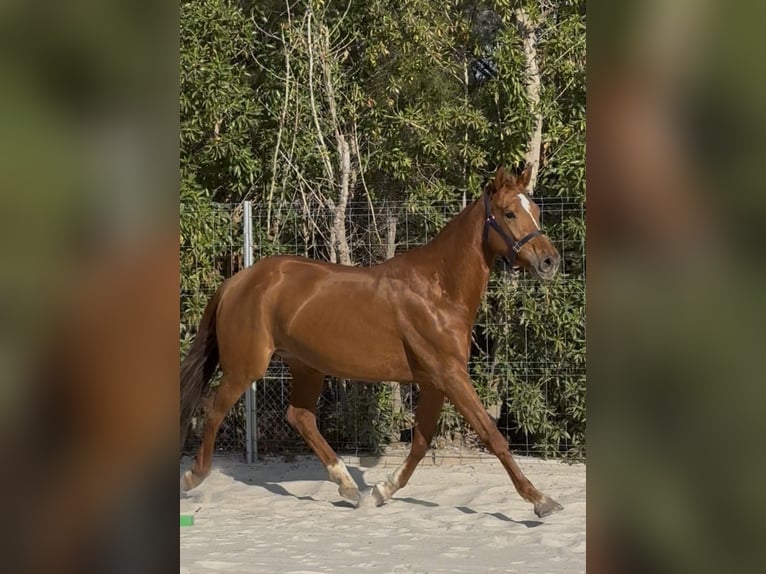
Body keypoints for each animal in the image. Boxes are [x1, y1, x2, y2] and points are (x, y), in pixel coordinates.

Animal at [180, 165, 564, 518]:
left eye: (536, 210)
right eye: (510, 212)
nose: (549, 261)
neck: (438, 291)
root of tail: (238, 281)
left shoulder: (434, 382)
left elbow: (421, 443)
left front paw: (380, 491)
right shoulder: (450, 376)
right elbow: (492, 435)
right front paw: (540, 500)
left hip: (306, 366)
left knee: (299, 417)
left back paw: (348, 487)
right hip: (246, 367)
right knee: (213, 409)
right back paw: (193, 477)